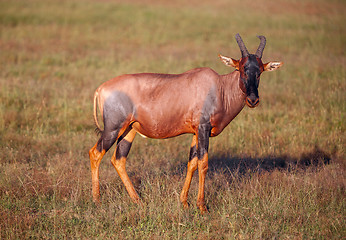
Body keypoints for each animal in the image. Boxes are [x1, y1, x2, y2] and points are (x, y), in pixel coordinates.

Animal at [88, 32, 282, 213]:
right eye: (242, 68)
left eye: (260, 71)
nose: (253, 100)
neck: (218, 86)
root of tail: (101, 88)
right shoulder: (203, 128)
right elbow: (203, 163)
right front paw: (202, 207)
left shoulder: (196, 132)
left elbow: (192, 163)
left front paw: (184, 203)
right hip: (113, 128)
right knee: (95, 153)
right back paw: (97, 200)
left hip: (129, 130)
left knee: (118, 160)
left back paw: (138, 201)